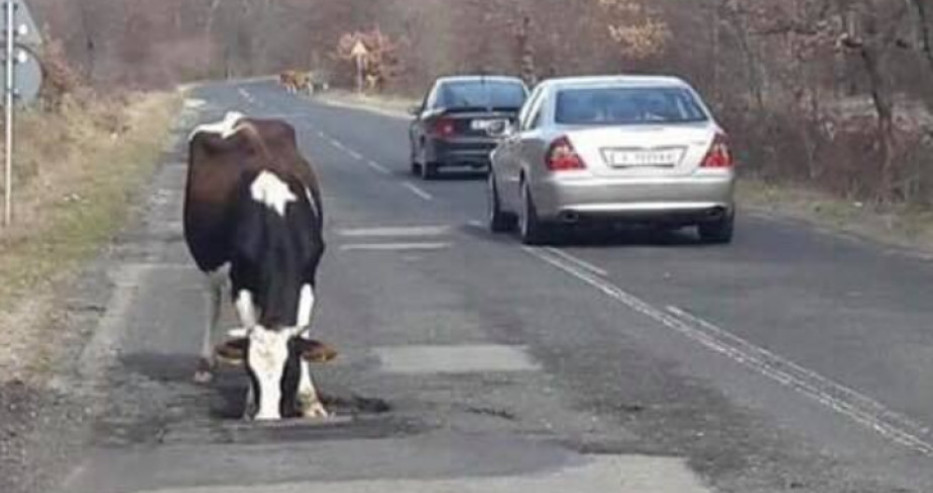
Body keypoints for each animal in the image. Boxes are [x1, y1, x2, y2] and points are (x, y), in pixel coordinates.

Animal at [184, 110, 334, 418]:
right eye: (251, 372)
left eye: (289, 373)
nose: (267, 418)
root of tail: (238, 118)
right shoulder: (240, 285)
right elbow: (247, 323)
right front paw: (250, 404)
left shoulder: (308, 279)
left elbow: (304, 332)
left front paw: (310, 401)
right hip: (206, 263)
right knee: (211, 303)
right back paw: (205, 365)